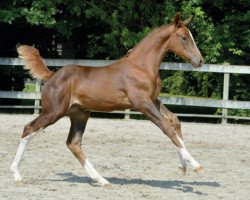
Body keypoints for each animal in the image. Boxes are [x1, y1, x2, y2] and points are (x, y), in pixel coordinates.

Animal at [10, 12, 204, 186]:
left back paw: (101, 179)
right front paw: (197, 166)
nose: (200, 61)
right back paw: (16, 174)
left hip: (79, 114)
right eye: (184, 38)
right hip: (53, 112)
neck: (141, 66)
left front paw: (183, 167)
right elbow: (167, 128)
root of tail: (51, 75)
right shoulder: (142, 103)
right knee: (29, 129)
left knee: (73, 143)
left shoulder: (153, 100)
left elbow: (174, 121)